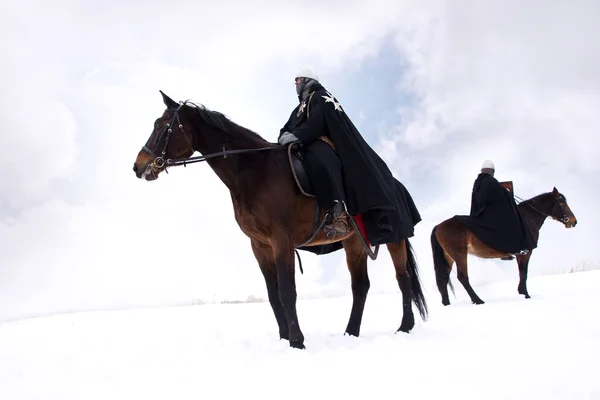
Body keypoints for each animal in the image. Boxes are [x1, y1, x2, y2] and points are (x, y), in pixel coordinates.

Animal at [134, 91, 428, 350]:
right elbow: (274, 295)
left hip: (395, 239)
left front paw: (297, 341)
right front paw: (285, 337)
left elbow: (287, 291)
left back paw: (404, 326)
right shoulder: (260, 245)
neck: (255, 170)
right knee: (361, 286)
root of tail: (396, 184)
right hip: (354, 243)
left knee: (402, 278)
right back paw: (351, 332)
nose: (139, 166)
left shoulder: (281, 241)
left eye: (162, 126)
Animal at [432, 186, 576, 304]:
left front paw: (522, 293)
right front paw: (526, 295)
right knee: (462, 277)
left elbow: (521, 273)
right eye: (562, 203)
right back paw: (478, 300)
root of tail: (438, 226)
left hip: (449, 257)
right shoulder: (526, 253)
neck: (525, 219)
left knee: (444, 279)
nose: (574, 221)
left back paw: (447, 303)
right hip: (459, 255)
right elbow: (524, 273)